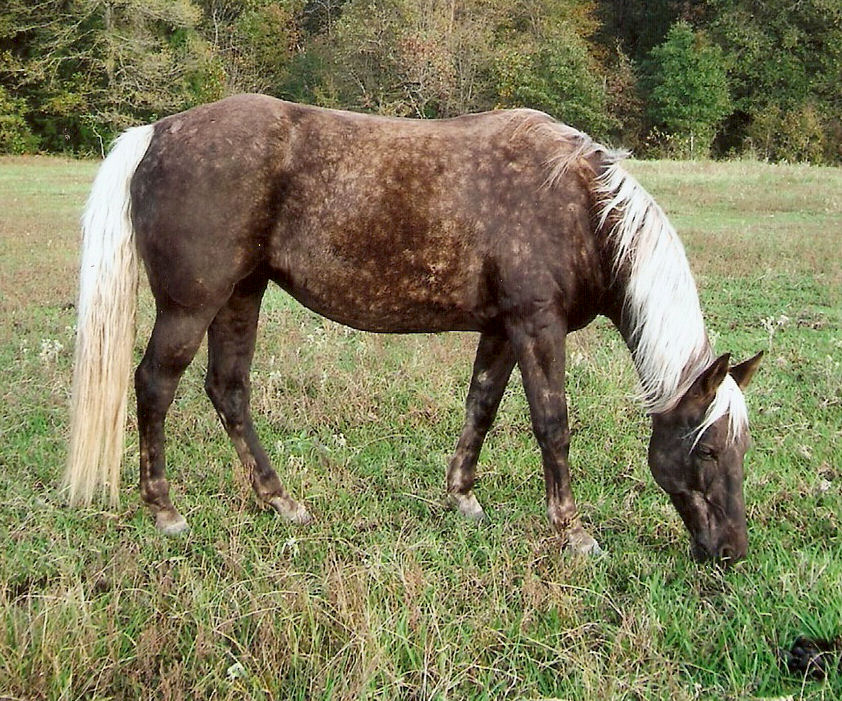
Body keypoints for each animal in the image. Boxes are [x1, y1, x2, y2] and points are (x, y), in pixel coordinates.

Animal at [64, 94, 762, 562]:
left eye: (742, 448)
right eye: (706, 449)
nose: (731, 551)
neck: (581, 208)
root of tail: (157, 133)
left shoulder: (503, 328)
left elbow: (481, 405)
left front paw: (462, 497)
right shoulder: (538, 325)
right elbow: (552, 424)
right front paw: (573, 531)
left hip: (241, 295)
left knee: (228, 390)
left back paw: (280, 502)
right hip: (192, 306)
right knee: (155, 386)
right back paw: (165, 511)